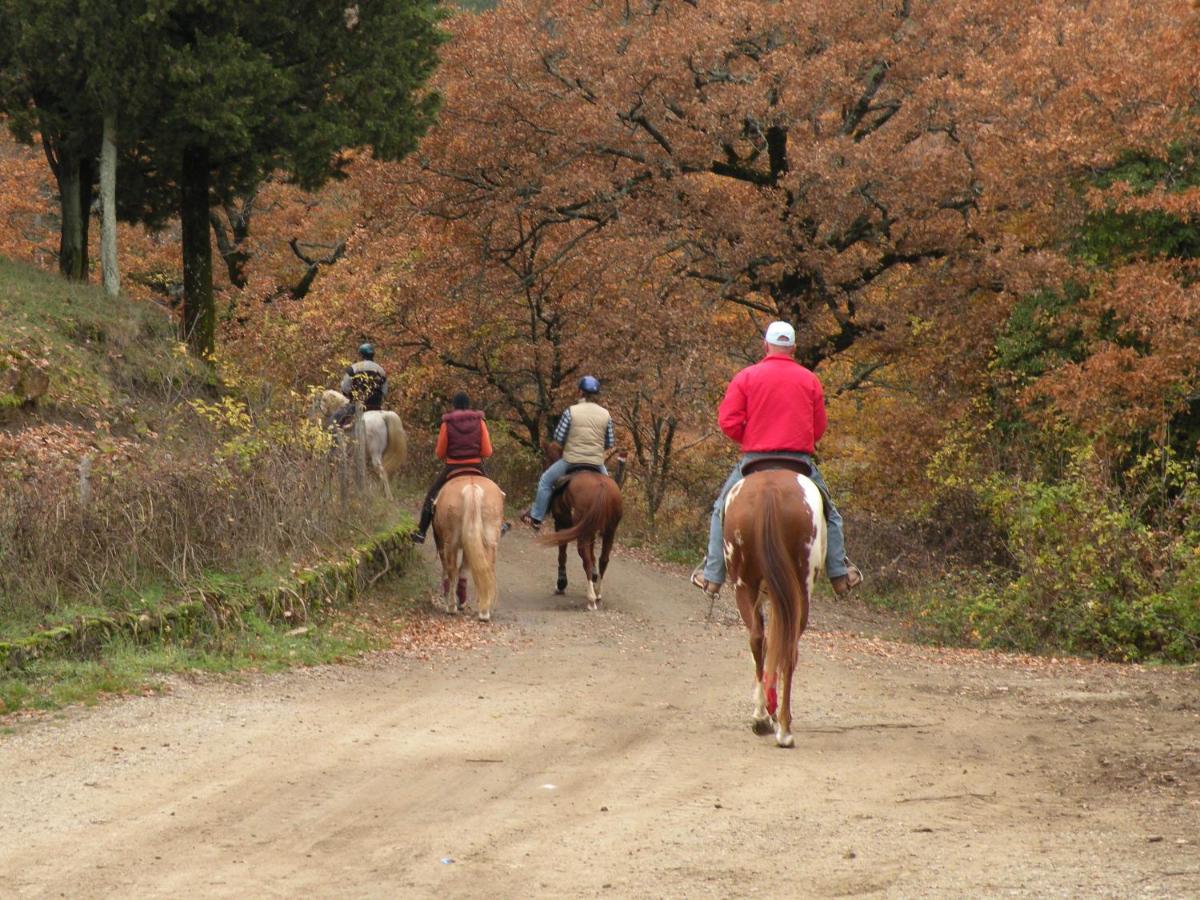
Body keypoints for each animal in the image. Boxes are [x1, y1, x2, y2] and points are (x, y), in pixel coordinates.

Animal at [432, 475, 506, 624]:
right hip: (490, 540)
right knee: (487, 568)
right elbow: (465, 568)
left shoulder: (442, 544)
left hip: (451, 543)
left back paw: (451, 607)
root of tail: (472, 487)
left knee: (452, 571)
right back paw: (484, 611)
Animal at [537, 458, 624, 614]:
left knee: (586, 560)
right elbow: (593, 556)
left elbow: (562, 555)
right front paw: (594, 577)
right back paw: (598, 592)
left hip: (582, 531)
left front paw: (561, 584)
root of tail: (601, 486)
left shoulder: (561, 524)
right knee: (603, 559)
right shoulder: (591, 531)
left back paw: (591, 598)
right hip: (610, 530)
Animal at [720, 458, 825, 748]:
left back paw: (761, 717)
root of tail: (770, 491)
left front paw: (768, 709)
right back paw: (784, 728)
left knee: (758, 639)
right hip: (799, 591)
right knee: (787, 649)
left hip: (745, 587)